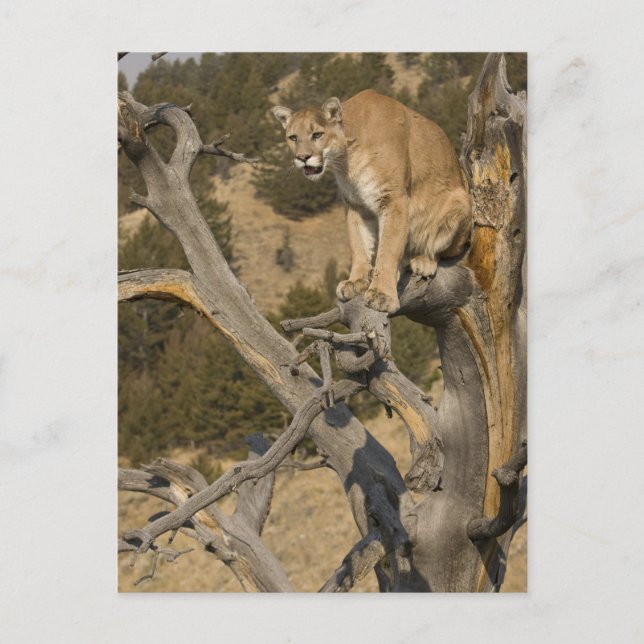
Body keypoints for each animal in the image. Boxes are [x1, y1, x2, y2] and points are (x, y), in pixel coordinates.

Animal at [272, 89, 472, 313]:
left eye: (317, 134)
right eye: (293, 137)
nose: (302, 157)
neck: (346, 158)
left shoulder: (394, 199)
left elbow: (388, 249)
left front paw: (381, 294)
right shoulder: (355, 204)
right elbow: (358, 245)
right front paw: (356, 281)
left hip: (461, 201)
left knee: (445, 250)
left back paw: (423, 260)